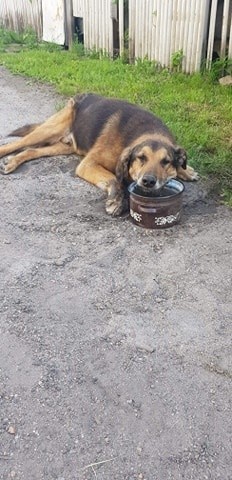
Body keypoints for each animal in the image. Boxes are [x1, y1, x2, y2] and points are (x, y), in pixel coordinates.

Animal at [0, 93, 198, 215]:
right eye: (141, 158)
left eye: (166, 161)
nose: (148, 181)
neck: (148, 131)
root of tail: (81, 96)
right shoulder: (88, 164)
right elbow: (113, 179)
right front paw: (116, 202)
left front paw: (185, 170)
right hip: (49, 130)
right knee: (18, 143)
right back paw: (8, 158)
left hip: (64, 146)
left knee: (31, 150)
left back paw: (13, 161)